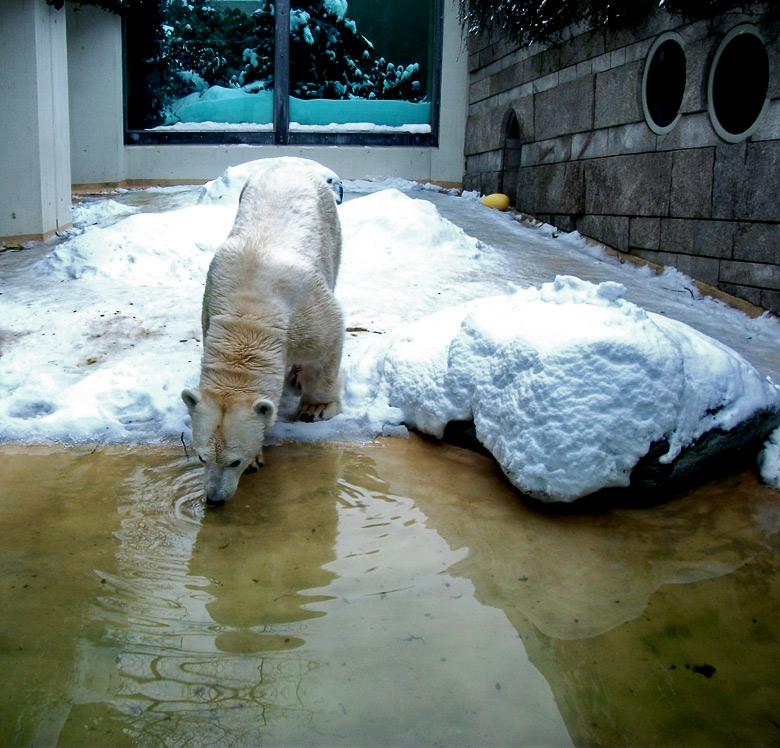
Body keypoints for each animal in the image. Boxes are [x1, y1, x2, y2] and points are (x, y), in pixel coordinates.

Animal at [183, 161, 344, 506]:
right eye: (202, 457)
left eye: (235, 461)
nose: (214, 498)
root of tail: (292, 164)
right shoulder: (210, 302)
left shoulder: (307, 311)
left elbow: (329, 341)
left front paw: (316, 408)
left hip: (330, 225)